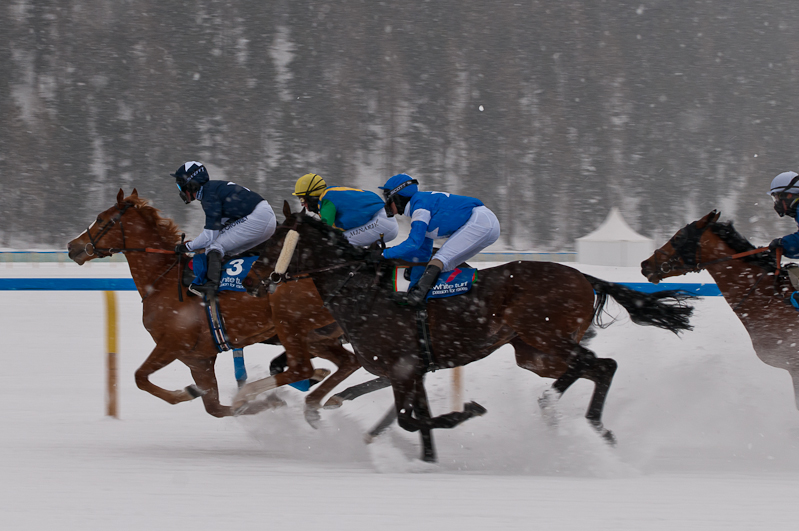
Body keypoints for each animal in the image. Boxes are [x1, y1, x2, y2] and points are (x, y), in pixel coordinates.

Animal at [67, 190, 360, 420]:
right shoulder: (198, 358)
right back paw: (318, 397)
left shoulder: (172, 344)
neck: (163, 279)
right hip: (317, 335)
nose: (72, 247)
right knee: (348, 361)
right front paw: (263, 402)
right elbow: (215, 407)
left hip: (291, 325)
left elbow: (140, 377)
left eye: (101, 219)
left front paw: (189, 392)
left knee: (306, 366)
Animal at [256, 207, 692, 462]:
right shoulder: (412, 370)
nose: (253, 279)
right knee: (597, 367)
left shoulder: (403, 368)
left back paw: (568, 416)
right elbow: (417, 422)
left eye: (274, 242)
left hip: (548, 340)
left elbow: (412, 421)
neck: (361, 289)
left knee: (599, 364)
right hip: (533, 353)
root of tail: (583, 275)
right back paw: (583, 425)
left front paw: (467, 411)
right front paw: (428, 460)